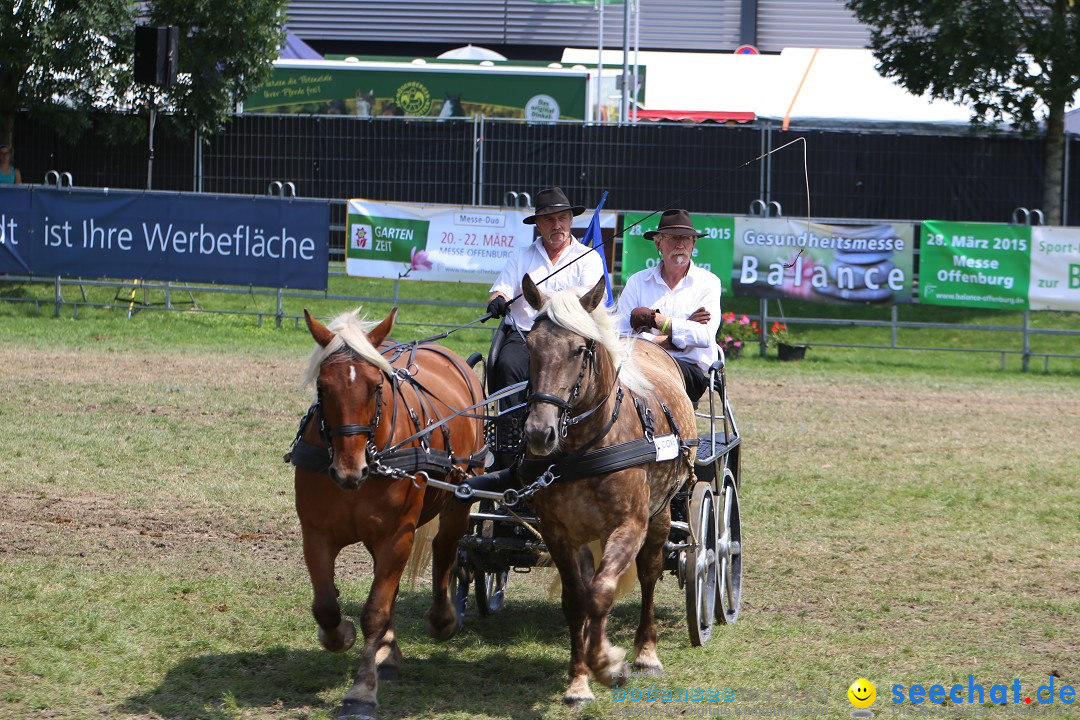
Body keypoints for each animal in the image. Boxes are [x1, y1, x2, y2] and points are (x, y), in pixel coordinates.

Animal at [291, 310, 486, 720]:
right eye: (322, 387)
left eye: (375, 386)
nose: (348, 471)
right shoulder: (316, 533)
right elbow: (326, 607)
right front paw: (342, 636)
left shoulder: (398, 534)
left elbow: (374, 613)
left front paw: (361, 692)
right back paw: (388, 652)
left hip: (460, 493)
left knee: (446, 548)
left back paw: (443, 620)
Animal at [520, 278, 699, 708]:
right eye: (530, 345)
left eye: (579, 349)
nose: (538, 432)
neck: (584, 447)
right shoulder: (558, 533)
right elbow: (576, 600)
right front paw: (579, 680)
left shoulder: (628, 526)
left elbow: (601, 594)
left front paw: (606, 664)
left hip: (660, 513)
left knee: (649, 572)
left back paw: (646, 653)